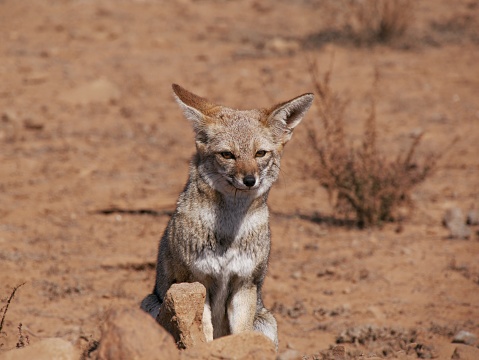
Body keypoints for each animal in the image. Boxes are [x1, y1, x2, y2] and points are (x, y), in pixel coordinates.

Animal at [142, 83, 316, 348]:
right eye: (227, 155)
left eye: (260, 153)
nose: (249, 180)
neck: (228, 230)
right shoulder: (195, 283)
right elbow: (203, 333)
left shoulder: (244, 283)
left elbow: (241, 334)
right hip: (152, 303)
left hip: (266, 321)